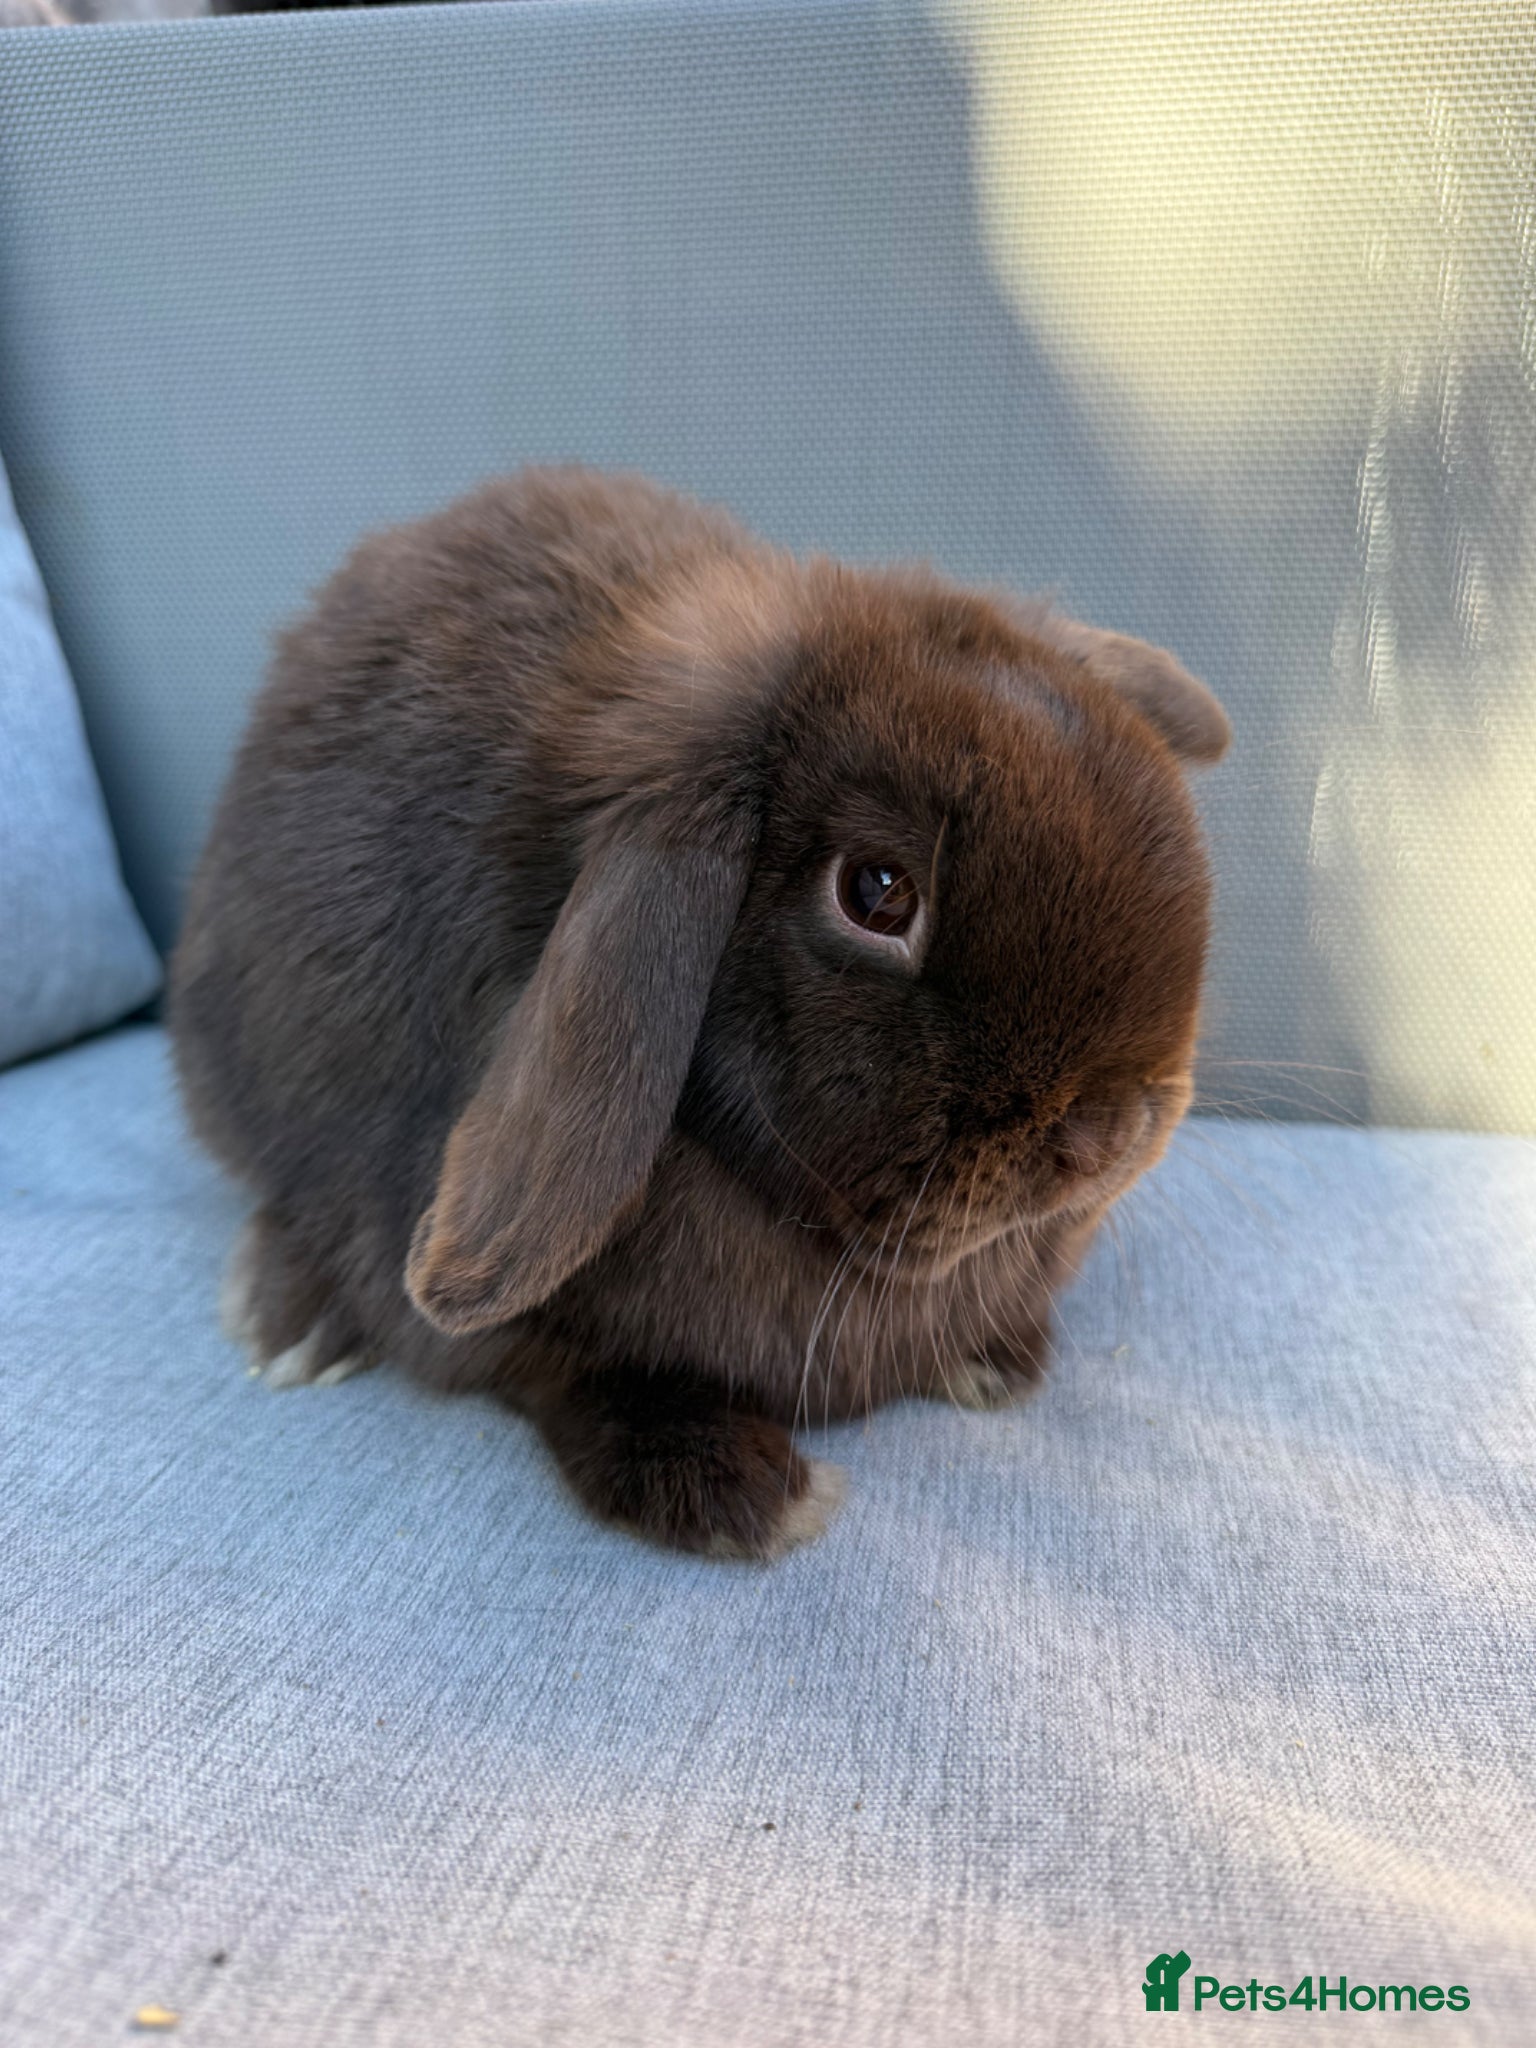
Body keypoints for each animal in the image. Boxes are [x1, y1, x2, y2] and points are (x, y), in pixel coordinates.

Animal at [170, 466, 1229, 1558]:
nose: (1104, 1135)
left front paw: (992, 1360)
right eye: (876, 892)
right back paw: (286, 1322)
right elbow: (556, 1371)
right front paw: (742, 1493)